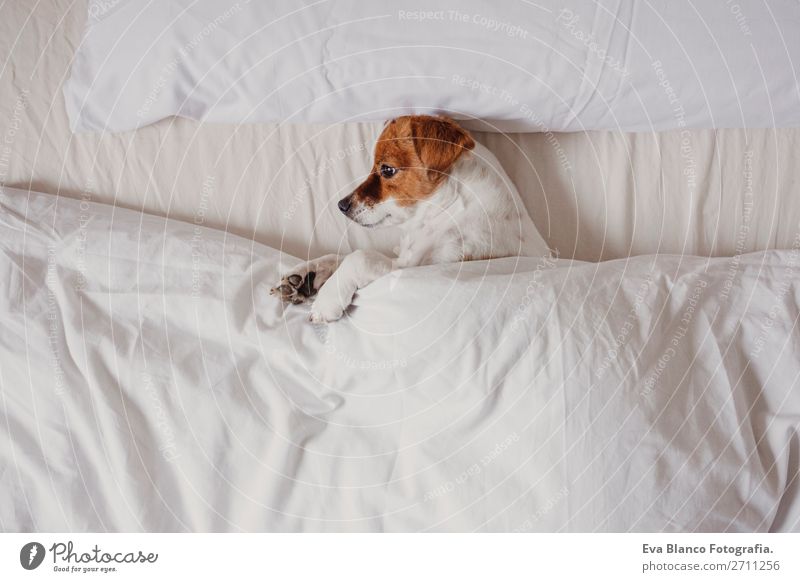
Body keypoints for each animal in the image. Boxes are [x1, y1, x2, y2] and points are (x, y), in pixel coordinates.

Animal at [268, 114, 552, 324]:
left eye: (387, 169)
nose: (341, 205)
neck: (450, 209)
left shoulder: (417, 267)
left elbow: (359, 256)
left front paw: (326, 300)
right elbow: (337, 255)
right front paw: (304, 274)